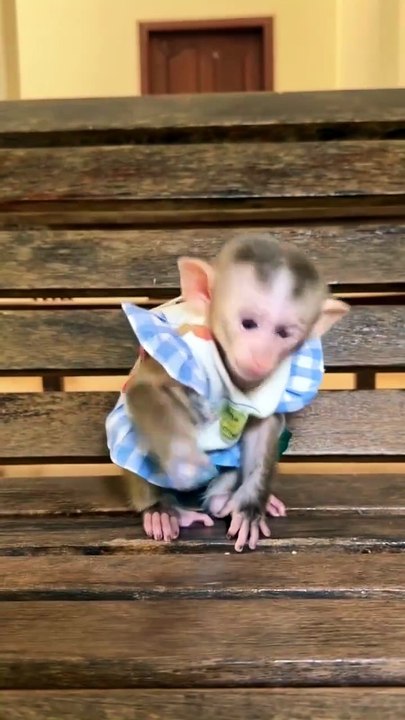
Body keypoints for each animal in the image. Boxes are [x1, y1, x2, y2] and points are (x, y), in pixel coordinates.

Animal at [106, 234, 349, 551]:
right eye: (248, 323)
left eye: (283, 333)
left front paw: (249, 506)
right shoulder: (182, 346)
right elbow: (146, 388)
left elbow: (265, 426)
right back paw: (162, 510)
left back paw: (223, 500)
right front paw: (184, 463)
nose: (261, 357)